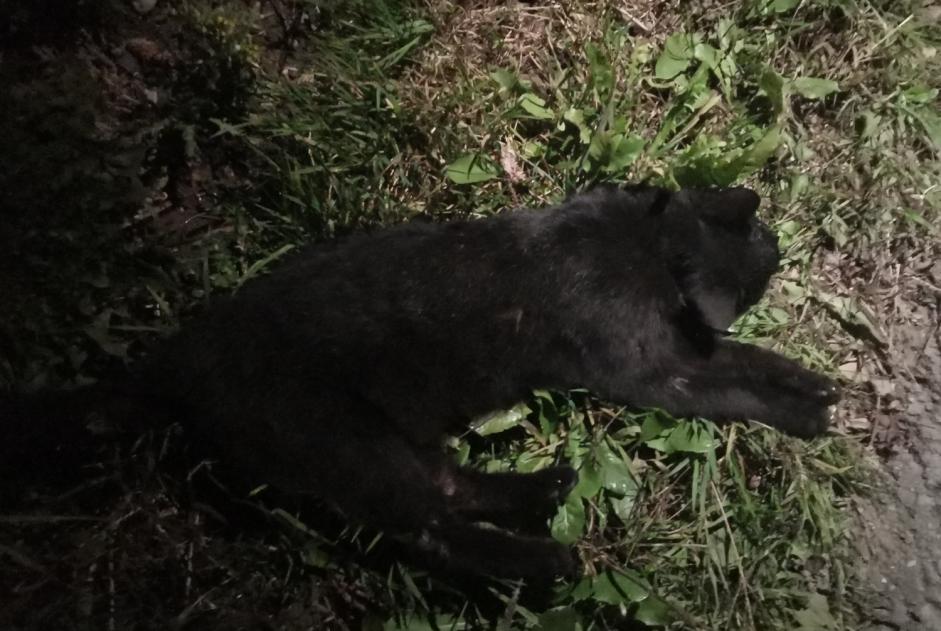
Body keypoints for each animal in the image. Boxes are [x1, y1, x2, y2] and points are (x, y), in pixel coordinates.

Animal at [0, 185, 836, 580]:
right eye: (768, 251)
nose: (783, 238)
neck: (647, 238)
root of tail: (164, 367)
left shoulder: (676, 349)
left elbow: (746, 360)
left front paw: (812, 381)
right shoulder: (653, 371)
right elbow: (732, 381)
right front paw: (806, 413)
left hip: (382, 438)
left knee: (448, 486)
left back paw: (543, 489)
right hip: (340, 444)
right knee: (432, 527)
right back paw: (540, 563)